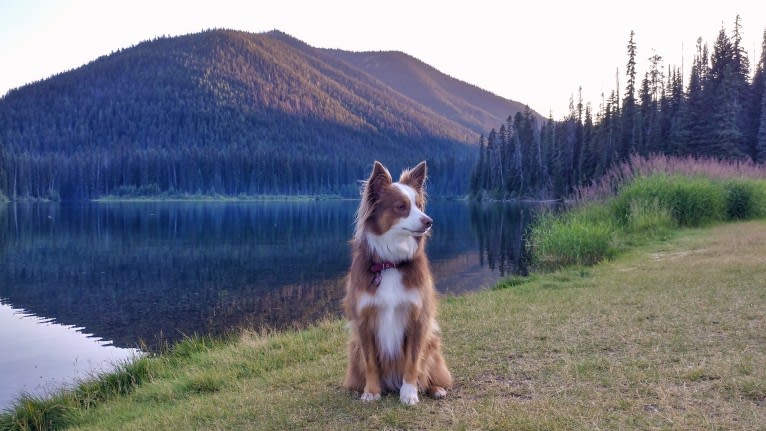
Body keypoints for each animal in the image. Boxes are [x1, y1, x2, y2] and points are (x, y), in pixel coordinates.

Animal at [342, 160, 450, 406]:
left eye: (418, 205)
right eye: (402, 206)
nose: (429, 221)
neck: (390, 263)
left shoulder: (418, 318)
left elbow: (413, 361)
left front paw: (409, 393)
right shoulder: (364, 321)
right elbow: (371, 361)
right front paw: (371, 392)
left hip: (433, 345)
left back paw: (435, 389)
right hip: (353, 350)